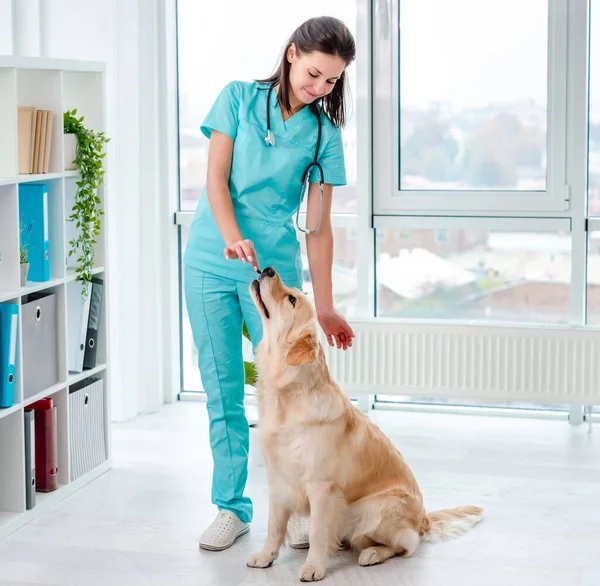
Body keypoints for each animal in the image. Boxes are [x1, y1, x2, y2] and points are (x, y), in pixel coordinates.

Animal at [245, 266, 482, 580]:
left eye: (292, 299)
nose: (268, 269)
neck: (288, 394)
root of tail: (424, 519)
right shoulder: (279, 480)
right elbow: (274, 527)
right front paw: (265, 557)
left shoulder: (322, 487)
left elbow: (318, 532)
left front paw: (313, 567)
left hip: (374, 508)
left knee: (406, 544)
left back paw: (372, 554)